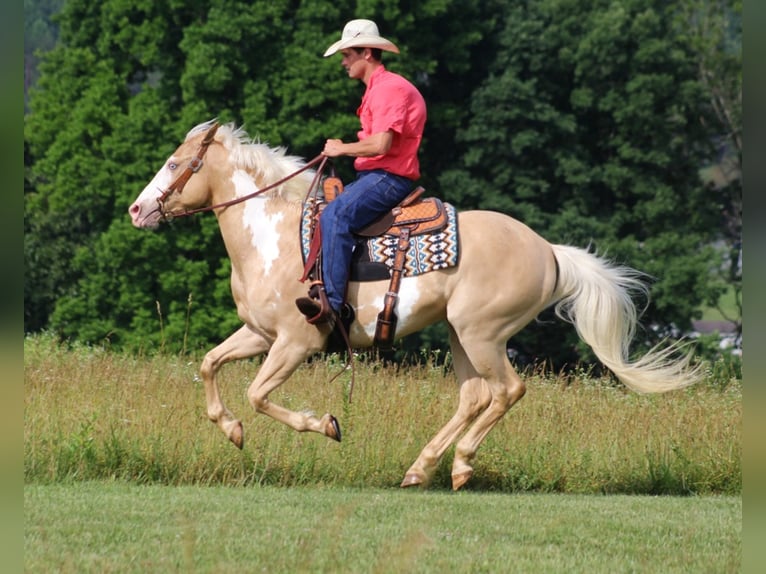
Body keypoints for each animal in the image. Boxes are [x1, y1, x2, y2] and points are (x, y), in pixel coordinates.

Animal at [130, 119, 704, 492]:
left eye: (175, 163)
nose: (137, 210)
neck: (275, 236)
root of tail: (549, 251)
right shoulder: (260, 335)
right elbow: (210, 365)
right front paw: (231, 430)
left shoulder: (296, 341)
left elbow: (257, 394)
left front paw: (325, 425)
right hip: (460, 334)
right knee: (474, 396)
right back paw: (422, 468)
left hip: (482, 334)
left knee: (507, 390)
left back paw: (461, 465)